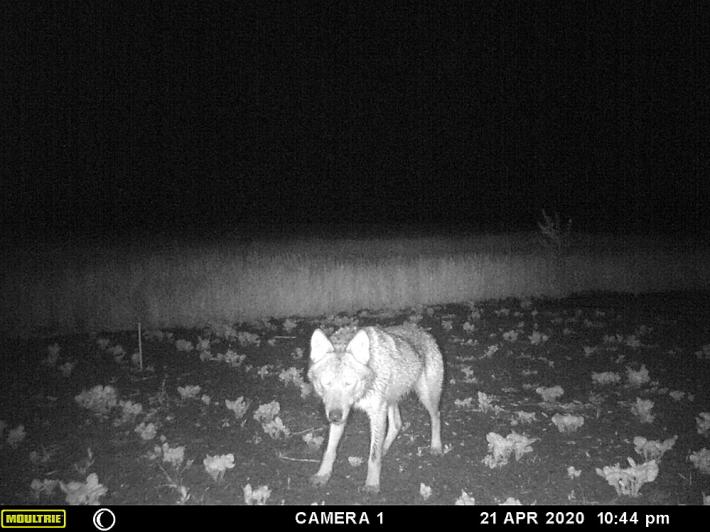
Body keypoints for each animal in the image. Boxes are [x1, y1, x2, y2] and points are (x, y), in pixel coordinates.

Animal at [307, 323, 444, 493]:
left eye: (348, 383)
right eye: (326, 383)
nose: (334, 417)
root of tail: (425, 333)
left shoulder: (376, 413)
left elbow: (373, 457)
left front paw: (372, 484)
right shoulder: (342, 413)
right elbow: (329, 450)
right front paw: (322, 475)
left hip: (425, 397)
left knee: (436, 417)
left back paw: (436, 446)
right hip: (390, 401)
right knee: (397, 425)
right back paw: (384, 448)